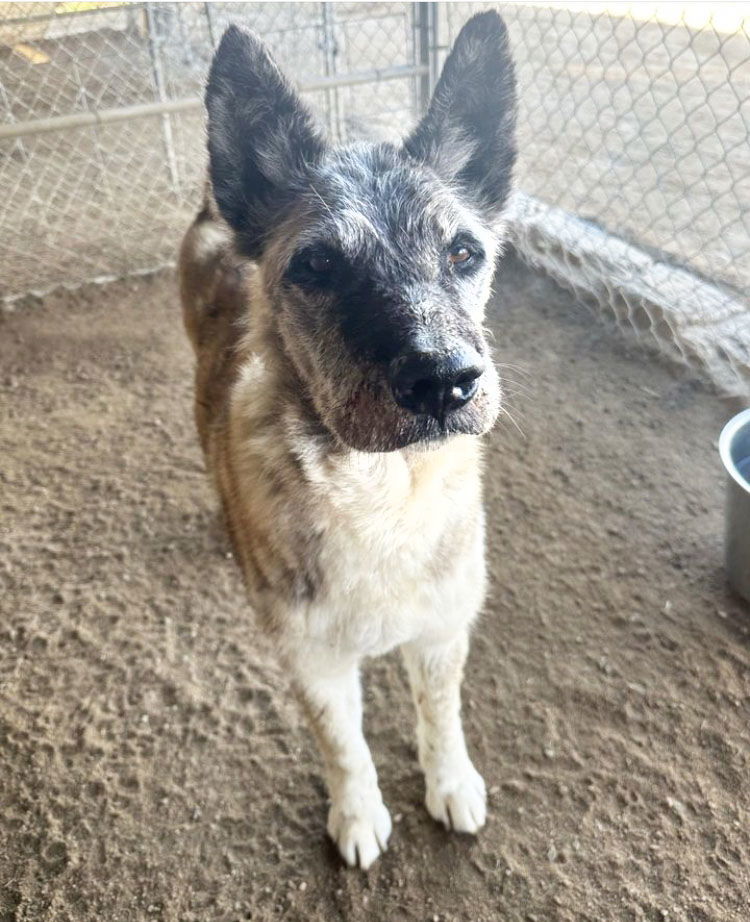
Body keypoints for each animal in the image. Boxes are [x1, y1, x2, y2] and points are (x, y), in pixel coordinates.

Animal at [178, 10, 516, 868]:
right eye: (320, 265)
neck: (382, 498)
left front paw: (450, 783)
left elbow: (441, 714)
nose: (444, 381)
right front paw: (358, 815)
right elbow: (345, 747)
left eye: (465, 252)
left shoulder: (443, 633)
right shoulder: (314, 662)